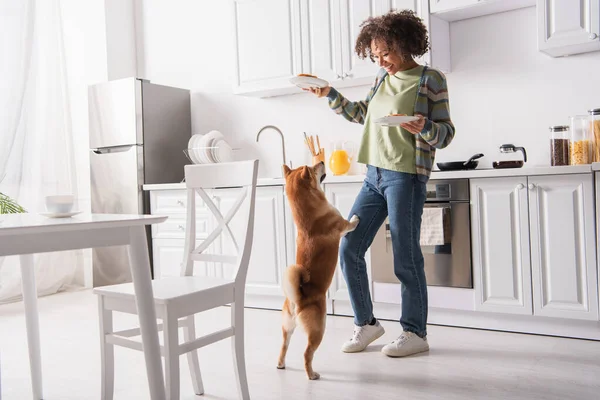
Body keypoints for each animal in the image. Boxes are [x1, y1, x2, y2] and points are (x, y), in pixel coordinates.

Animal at [276, 161, 356, 380]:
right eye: (313, 168)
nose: (321, 161)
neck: (308, 216)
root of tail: (297, 300)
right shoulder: (342, 225)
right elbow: (350, 223)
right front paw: (356, 216)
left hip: (287, 328)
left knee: (283, 347)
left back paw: (281, 364)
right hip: (319, 329)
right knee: (307, 354)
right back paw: (312, 374)